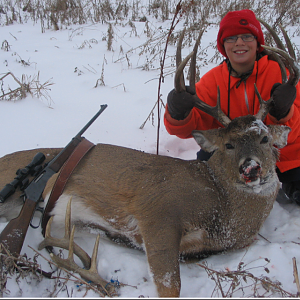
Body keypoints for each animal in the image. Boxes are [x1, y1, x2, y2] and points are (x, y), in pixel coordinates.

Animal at [0, 24, 298, 296]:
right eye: (229, 144)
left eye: (265, 139)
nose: (251, 168)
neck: (221, 204)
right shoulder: (158, 209)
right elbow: (170, 284)